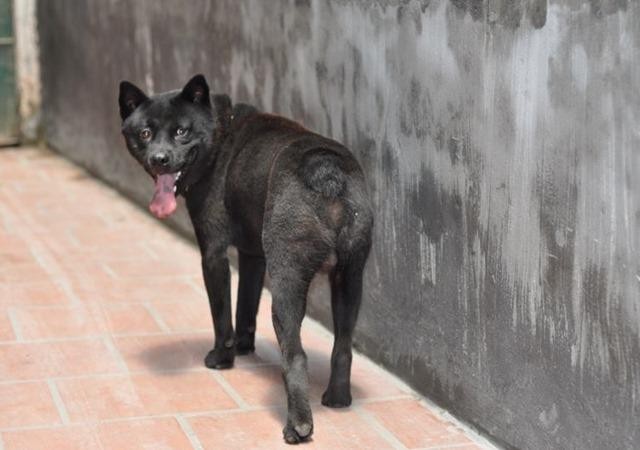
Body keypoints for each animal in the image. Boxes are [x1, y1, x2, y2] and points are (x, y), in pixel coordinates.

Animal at [117, 74, 372, 442]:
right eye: (145, 133)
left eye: (181, 131)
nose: (159, 159)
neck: (219, 132)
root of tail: (326, 170)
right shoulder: (253, 256)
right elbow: (245, 306)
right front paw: (243, 347)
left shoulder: (213, 253)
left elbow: (222, 313)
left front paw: (222, 357)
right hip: (350, 280)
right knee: (343, 347)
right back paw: (337, 398)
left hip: (288, 283)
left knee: (296, 356)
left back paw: (298, 426)